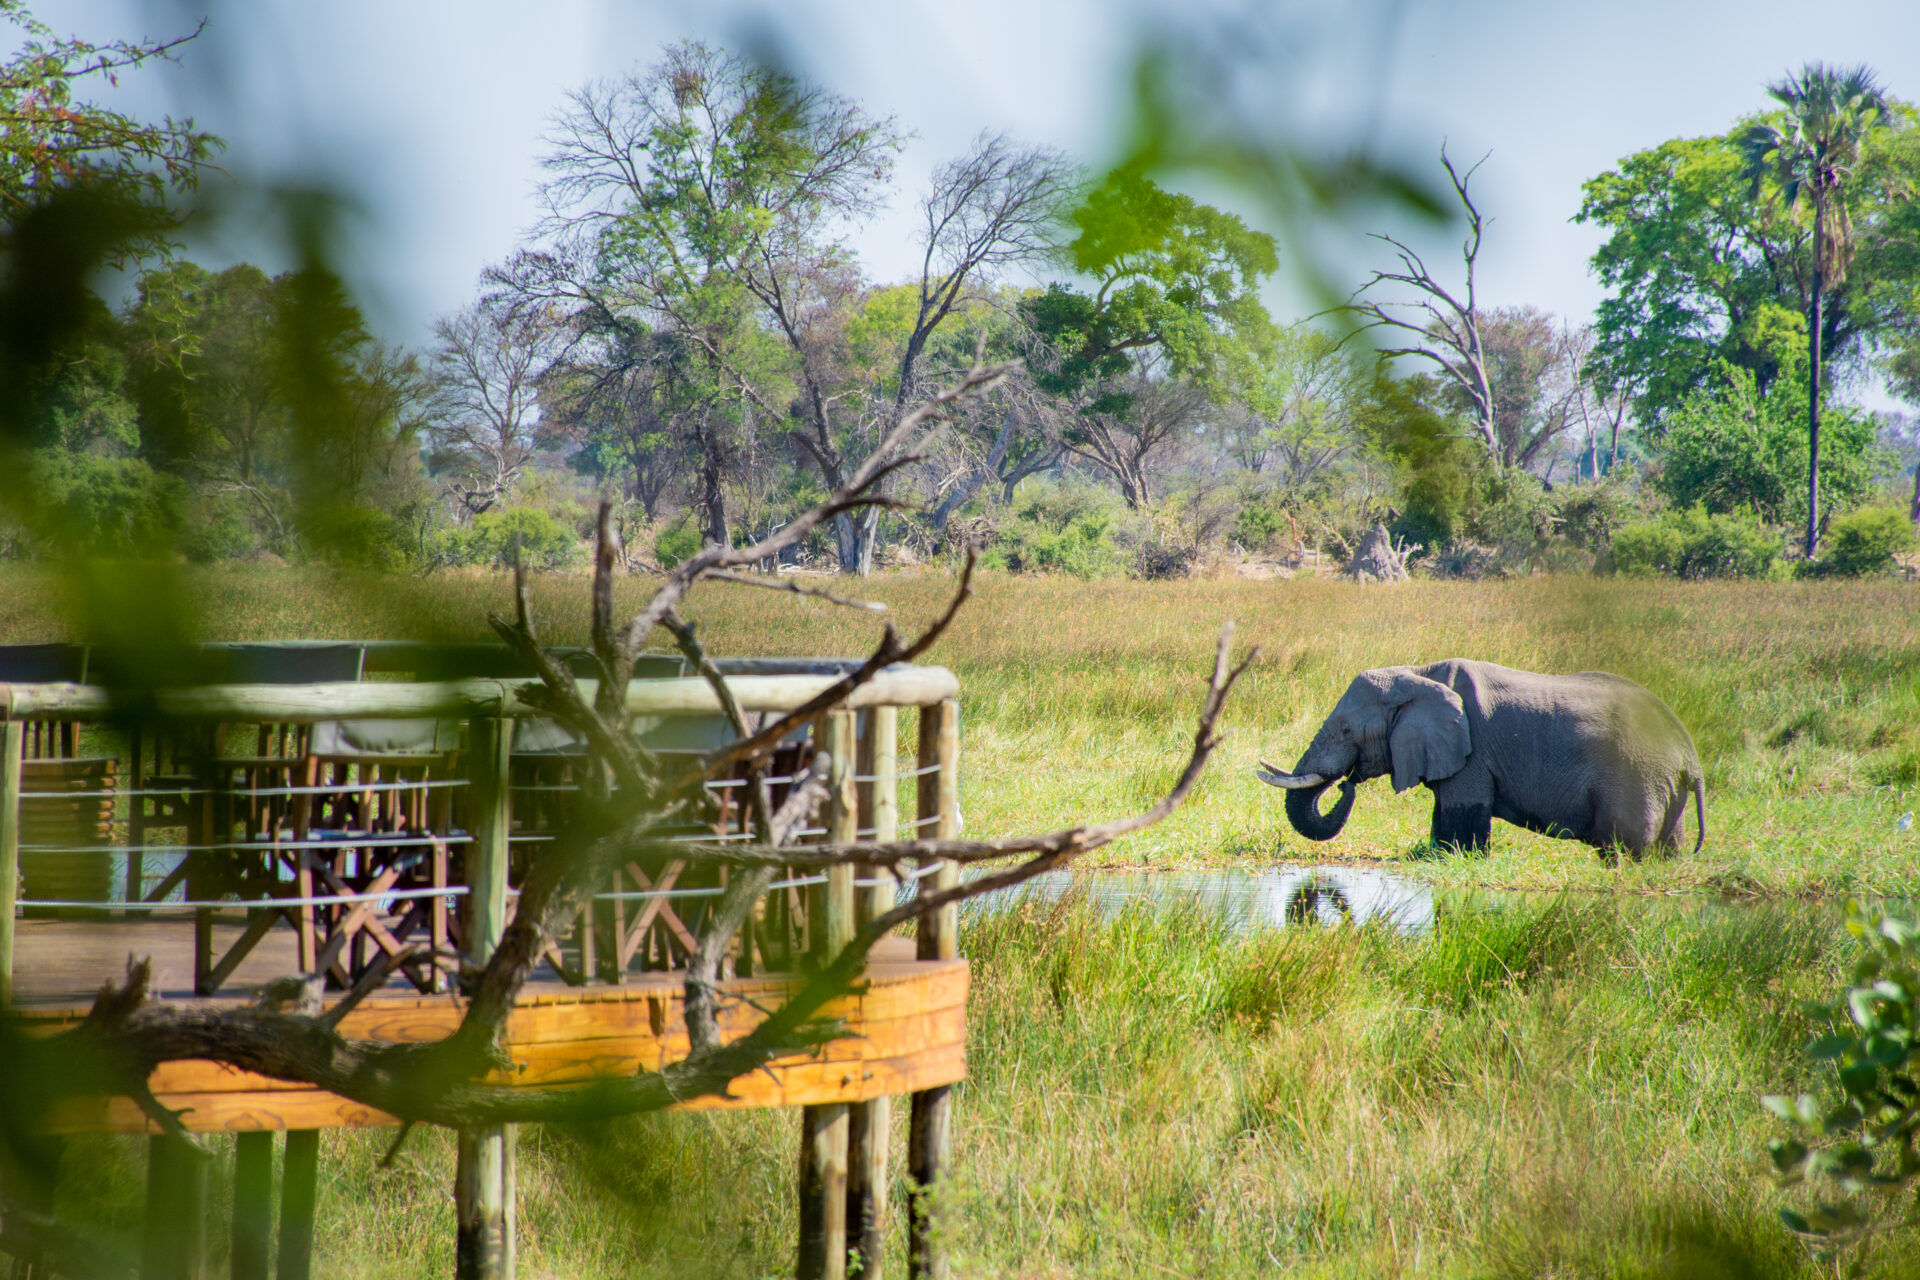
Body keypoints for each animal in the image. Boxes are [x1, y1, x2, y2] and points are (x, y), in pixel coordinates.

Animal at [1256, 659, 1705, 859]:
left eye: (1348, 731)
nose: (1347, 782)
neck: (1418, 672)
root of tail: (1690, 754)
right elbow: (1443, 813)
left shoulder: (1472, 750)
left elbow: (1462, 814)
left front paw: (1461, 857)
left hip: (1634, 777)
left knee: (1624, 846)